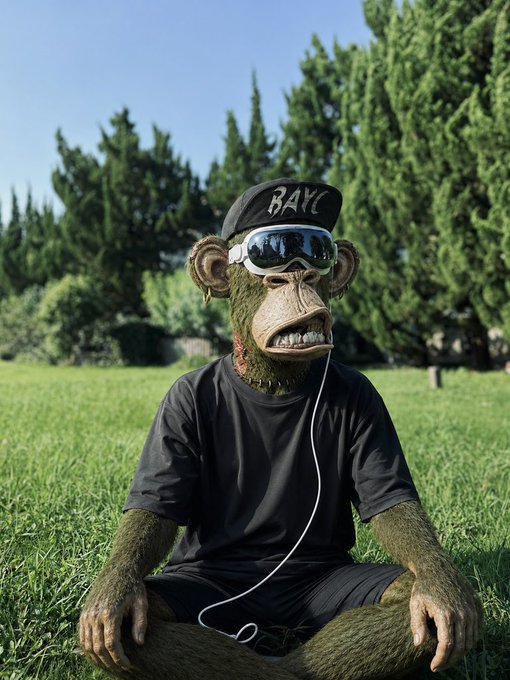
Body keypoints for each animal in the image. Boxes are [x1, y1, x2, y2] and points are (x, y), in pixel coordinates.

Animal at [80, 178, 482, 680]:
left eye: (316, 251)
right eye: (266, 253)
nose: (296, 276)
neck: (271, 384)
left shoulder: (369, 397)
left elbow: (395, 512)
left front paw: (445, 594)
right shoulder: (177, 401)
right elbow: (155, 512)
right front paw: (111, 597)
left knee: (408, 600)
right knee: (145, 616)